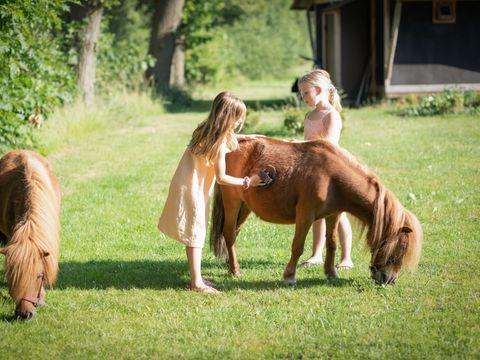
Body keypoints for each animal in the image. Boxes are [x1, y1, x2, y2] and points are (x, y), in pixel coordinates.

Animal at [209, 136, 420, 286]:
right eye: (399, 251)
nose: (389, 280)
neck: (332, 177)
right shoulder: (305, 215)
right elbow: (298, 246)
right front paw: (289, 276)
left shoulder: (333, 215)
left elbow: (332, 244)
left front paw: (331, 273)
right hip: (233, 202)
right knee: (229, 233)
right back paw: (235, 270)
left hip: (245, 207)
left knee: (234, 233)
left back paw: (230, 265)